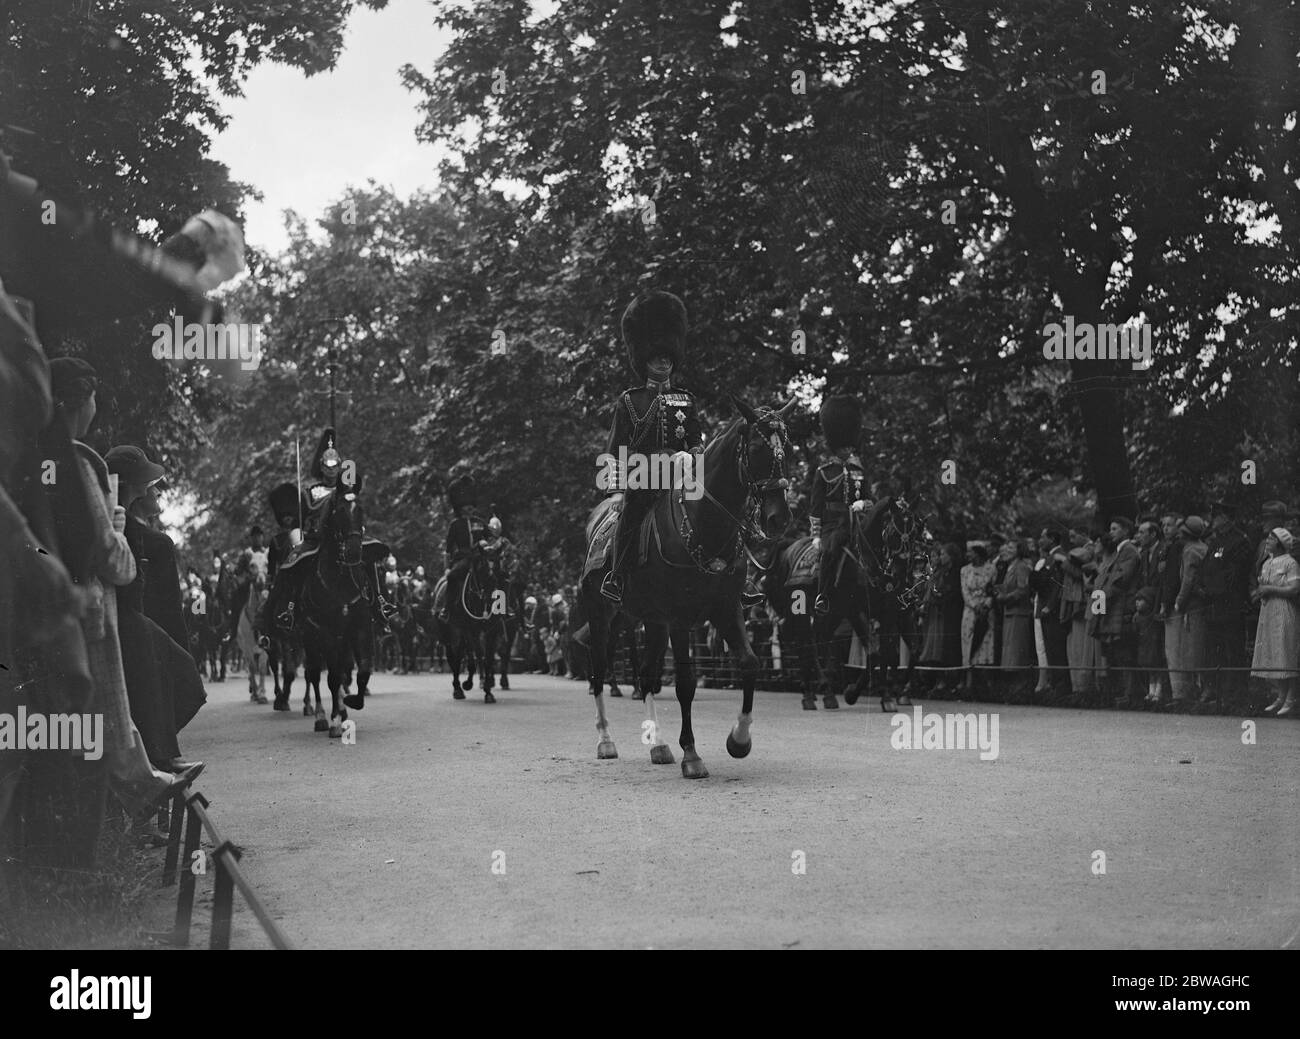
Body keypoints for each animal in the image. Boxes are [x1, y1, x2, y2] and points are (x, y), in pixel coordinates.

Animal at [287, 481, 382, 733]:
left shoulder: (360, 628)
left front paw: (352, 702)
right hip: (309, 637)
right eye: (338, 510)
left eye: (360, 510)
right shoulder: (326, 633)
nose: (354, 551)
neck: (341, 580)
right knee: (314, 675)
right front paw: (335, 719)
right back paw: (321, 716)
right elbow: (331, 678)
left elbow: (363, 670)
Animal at [582, 397, 790, 780]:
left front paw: (739, 740)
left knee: (647, 676)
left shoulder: (726, 608)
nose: (779, 518)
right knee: (599, 670)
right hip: (602, 614)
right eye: (756, 447)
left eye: (789, 446)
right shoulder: (680, 617)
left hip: (651, 621)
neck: (706, 522)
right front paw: (691, 755)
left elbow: (750, 662)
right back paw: (605, 740)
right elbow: (685, 683)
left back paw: (659, 745)